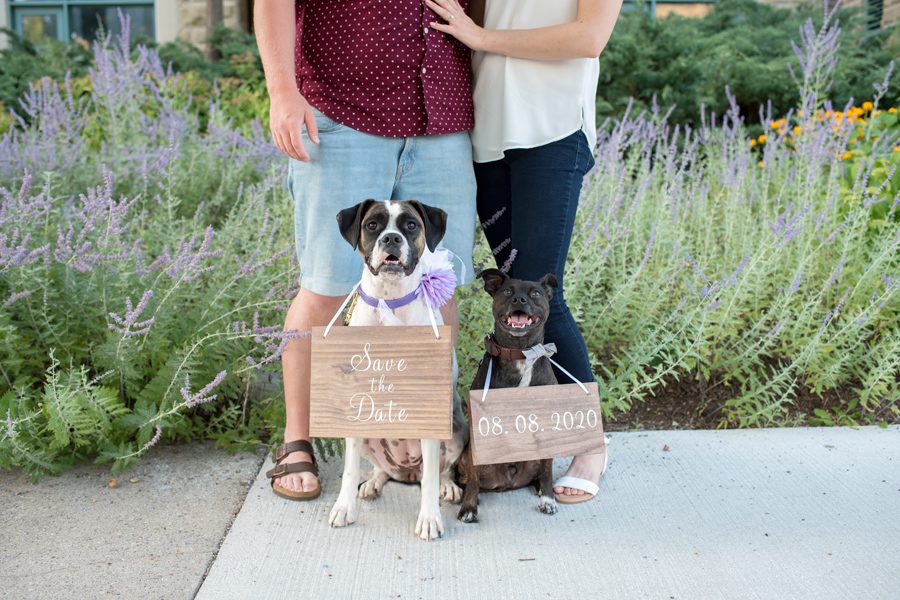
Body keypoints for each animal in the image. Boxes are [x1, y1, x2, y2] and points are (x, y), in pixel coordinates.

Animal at [332, 199, 472, 540]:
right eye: (372, 225)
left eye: (410, 225)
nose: (391, 239)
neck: (389, 300)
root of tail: (408, 472)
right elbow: (349, 469)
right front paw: (344, 508)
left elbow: (432, 479)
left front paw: (430, 519)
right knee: (383, 470)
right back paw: (372, 482)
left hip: (456, 429)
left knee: (438, 471)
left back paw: (447, 487)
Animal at [460, 268, 560, 520]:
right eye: (507, 292)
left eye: (535, 293)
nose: (520, 300)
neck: (521, 353)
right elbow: (473, 478)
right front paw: (469, 507)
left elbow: (547, 469)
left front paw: (548, 499)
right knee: (470, 477)